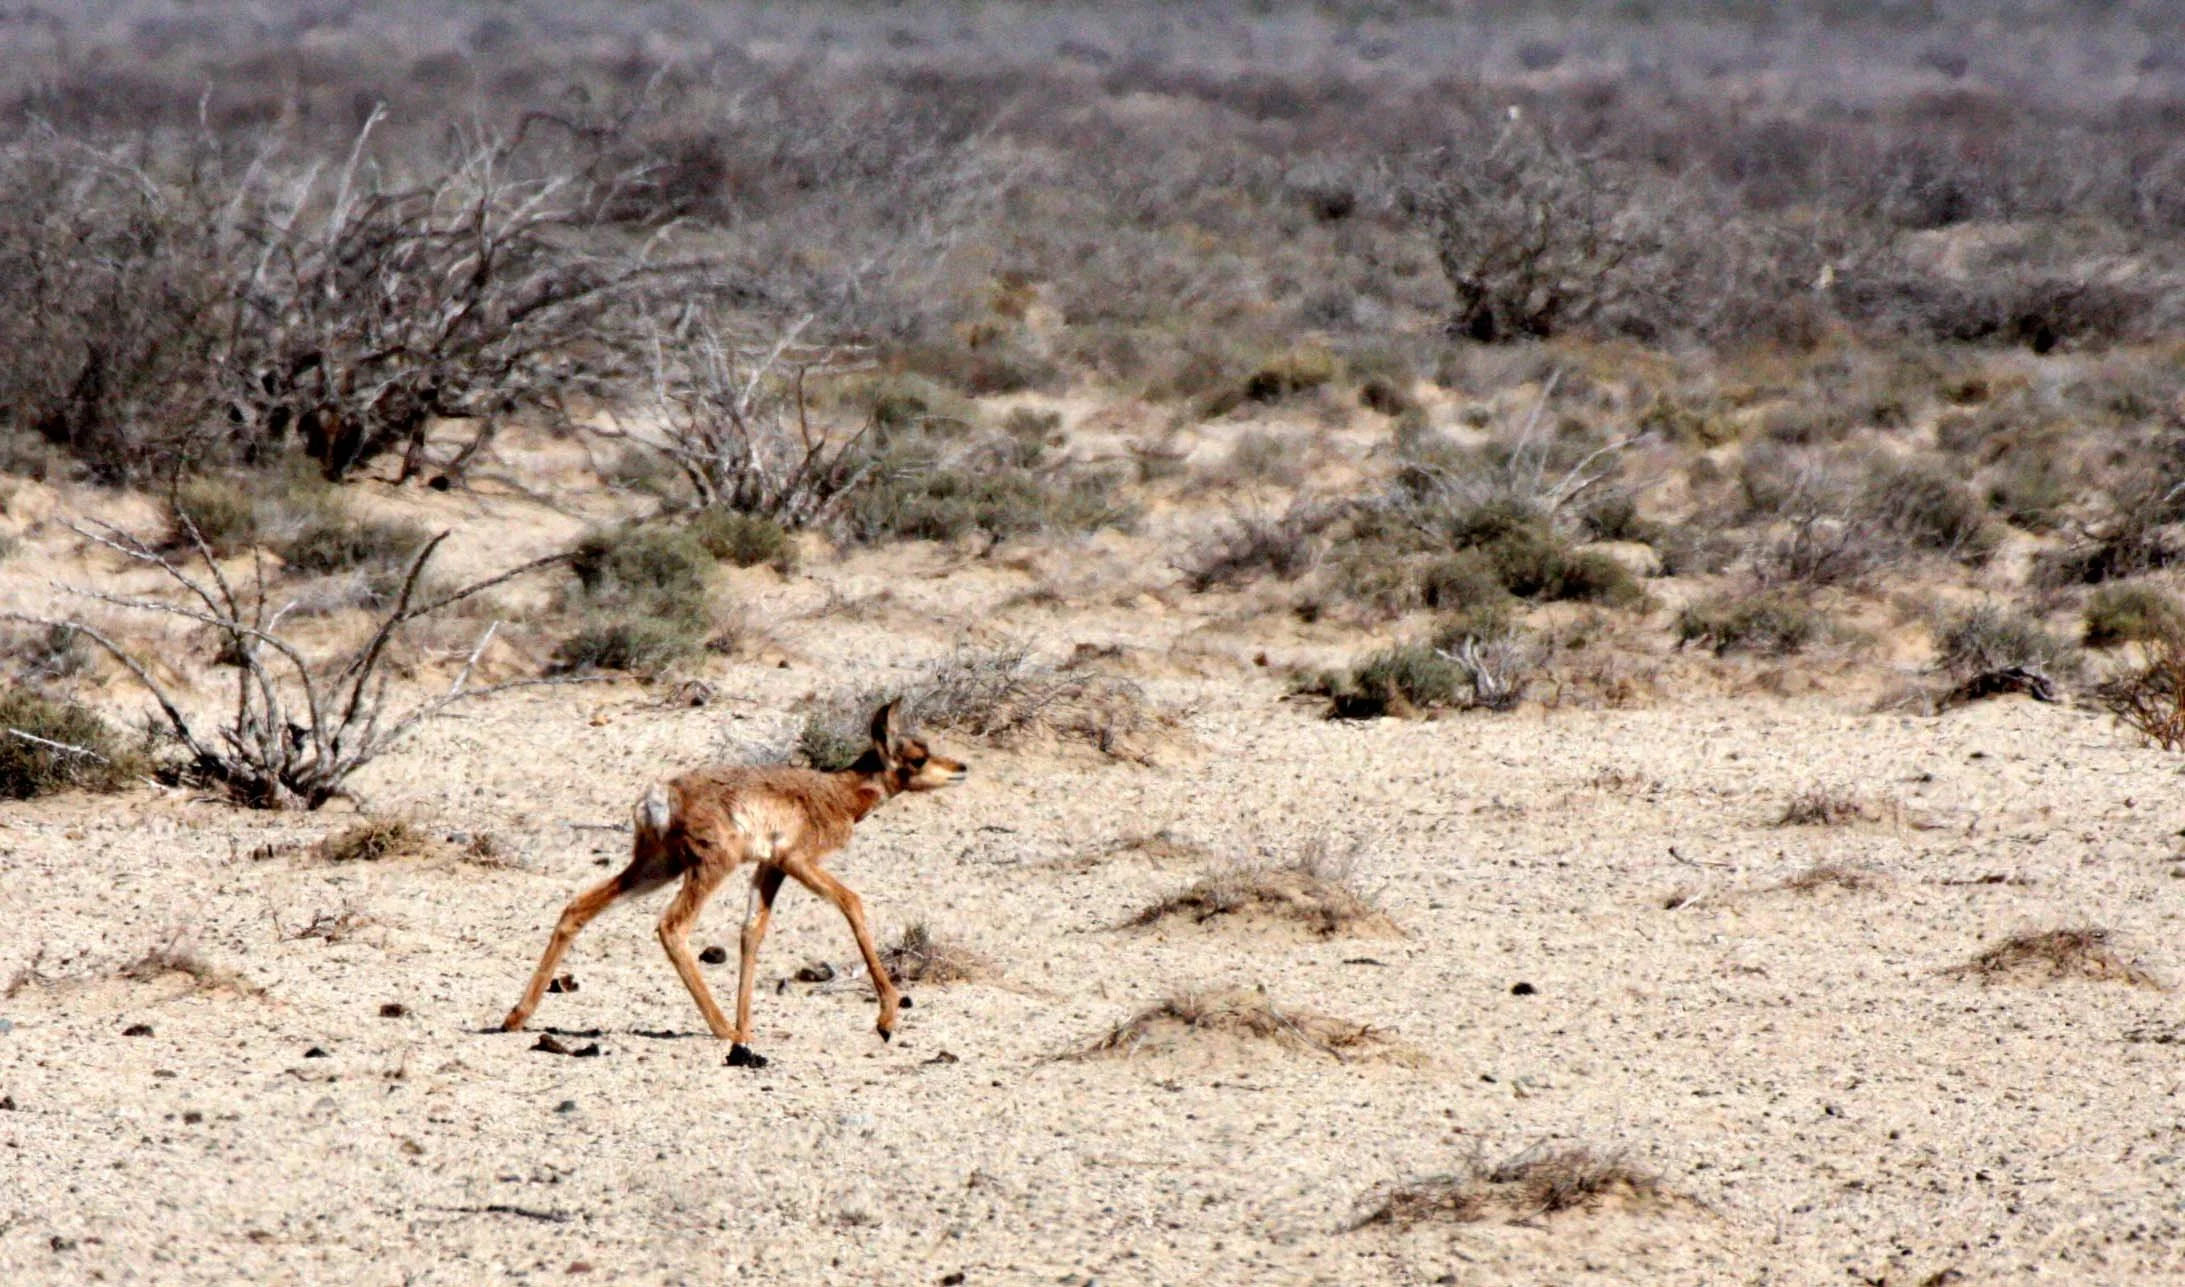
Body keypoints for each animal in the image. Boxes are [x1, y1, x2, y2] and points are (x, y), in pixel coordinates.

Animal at [502, 700, 968, 1067]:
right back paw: (721, 1028)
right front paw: (887, 1019)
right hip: (708, 868)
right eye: (918, 756)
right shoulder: (796, 861)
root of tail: (660, 795)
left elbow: (751, 932)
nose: (961, 767)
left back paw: (516, 1017)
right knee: (672, 925)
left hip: (656, 868)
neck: (838, 792)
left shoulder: (769, 868)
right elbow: (851, 901)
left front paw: (748, 1028)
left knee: (578, 907)